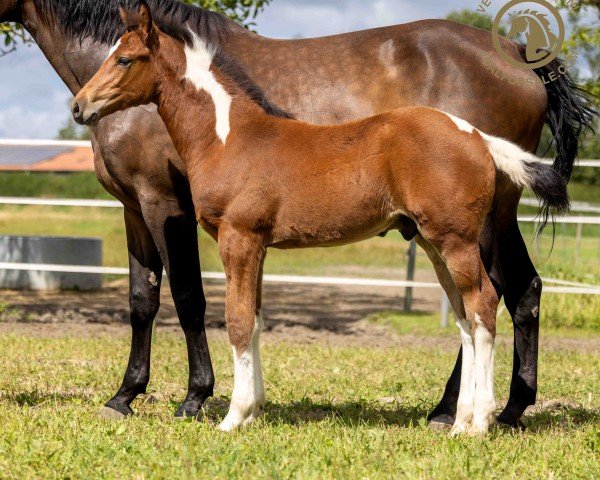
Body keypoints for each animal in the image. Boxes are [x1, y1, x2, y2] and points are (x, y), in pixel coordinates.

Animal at [3, 0, 596, 428]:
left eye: (124, 59)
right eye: (107, 54)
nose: (80, 106)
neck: (230, 133)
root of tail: (474, 135)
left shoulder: (213, 228)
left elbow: (224, 314)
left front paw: (219, 413)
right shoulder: (248, 242)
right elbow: (243, 317)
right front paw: (245, 409)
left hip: (461, 237)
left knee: (488, 305)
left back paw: (477, 421)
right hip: (435, 242)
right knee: (476, 316)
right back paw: (468, 415)